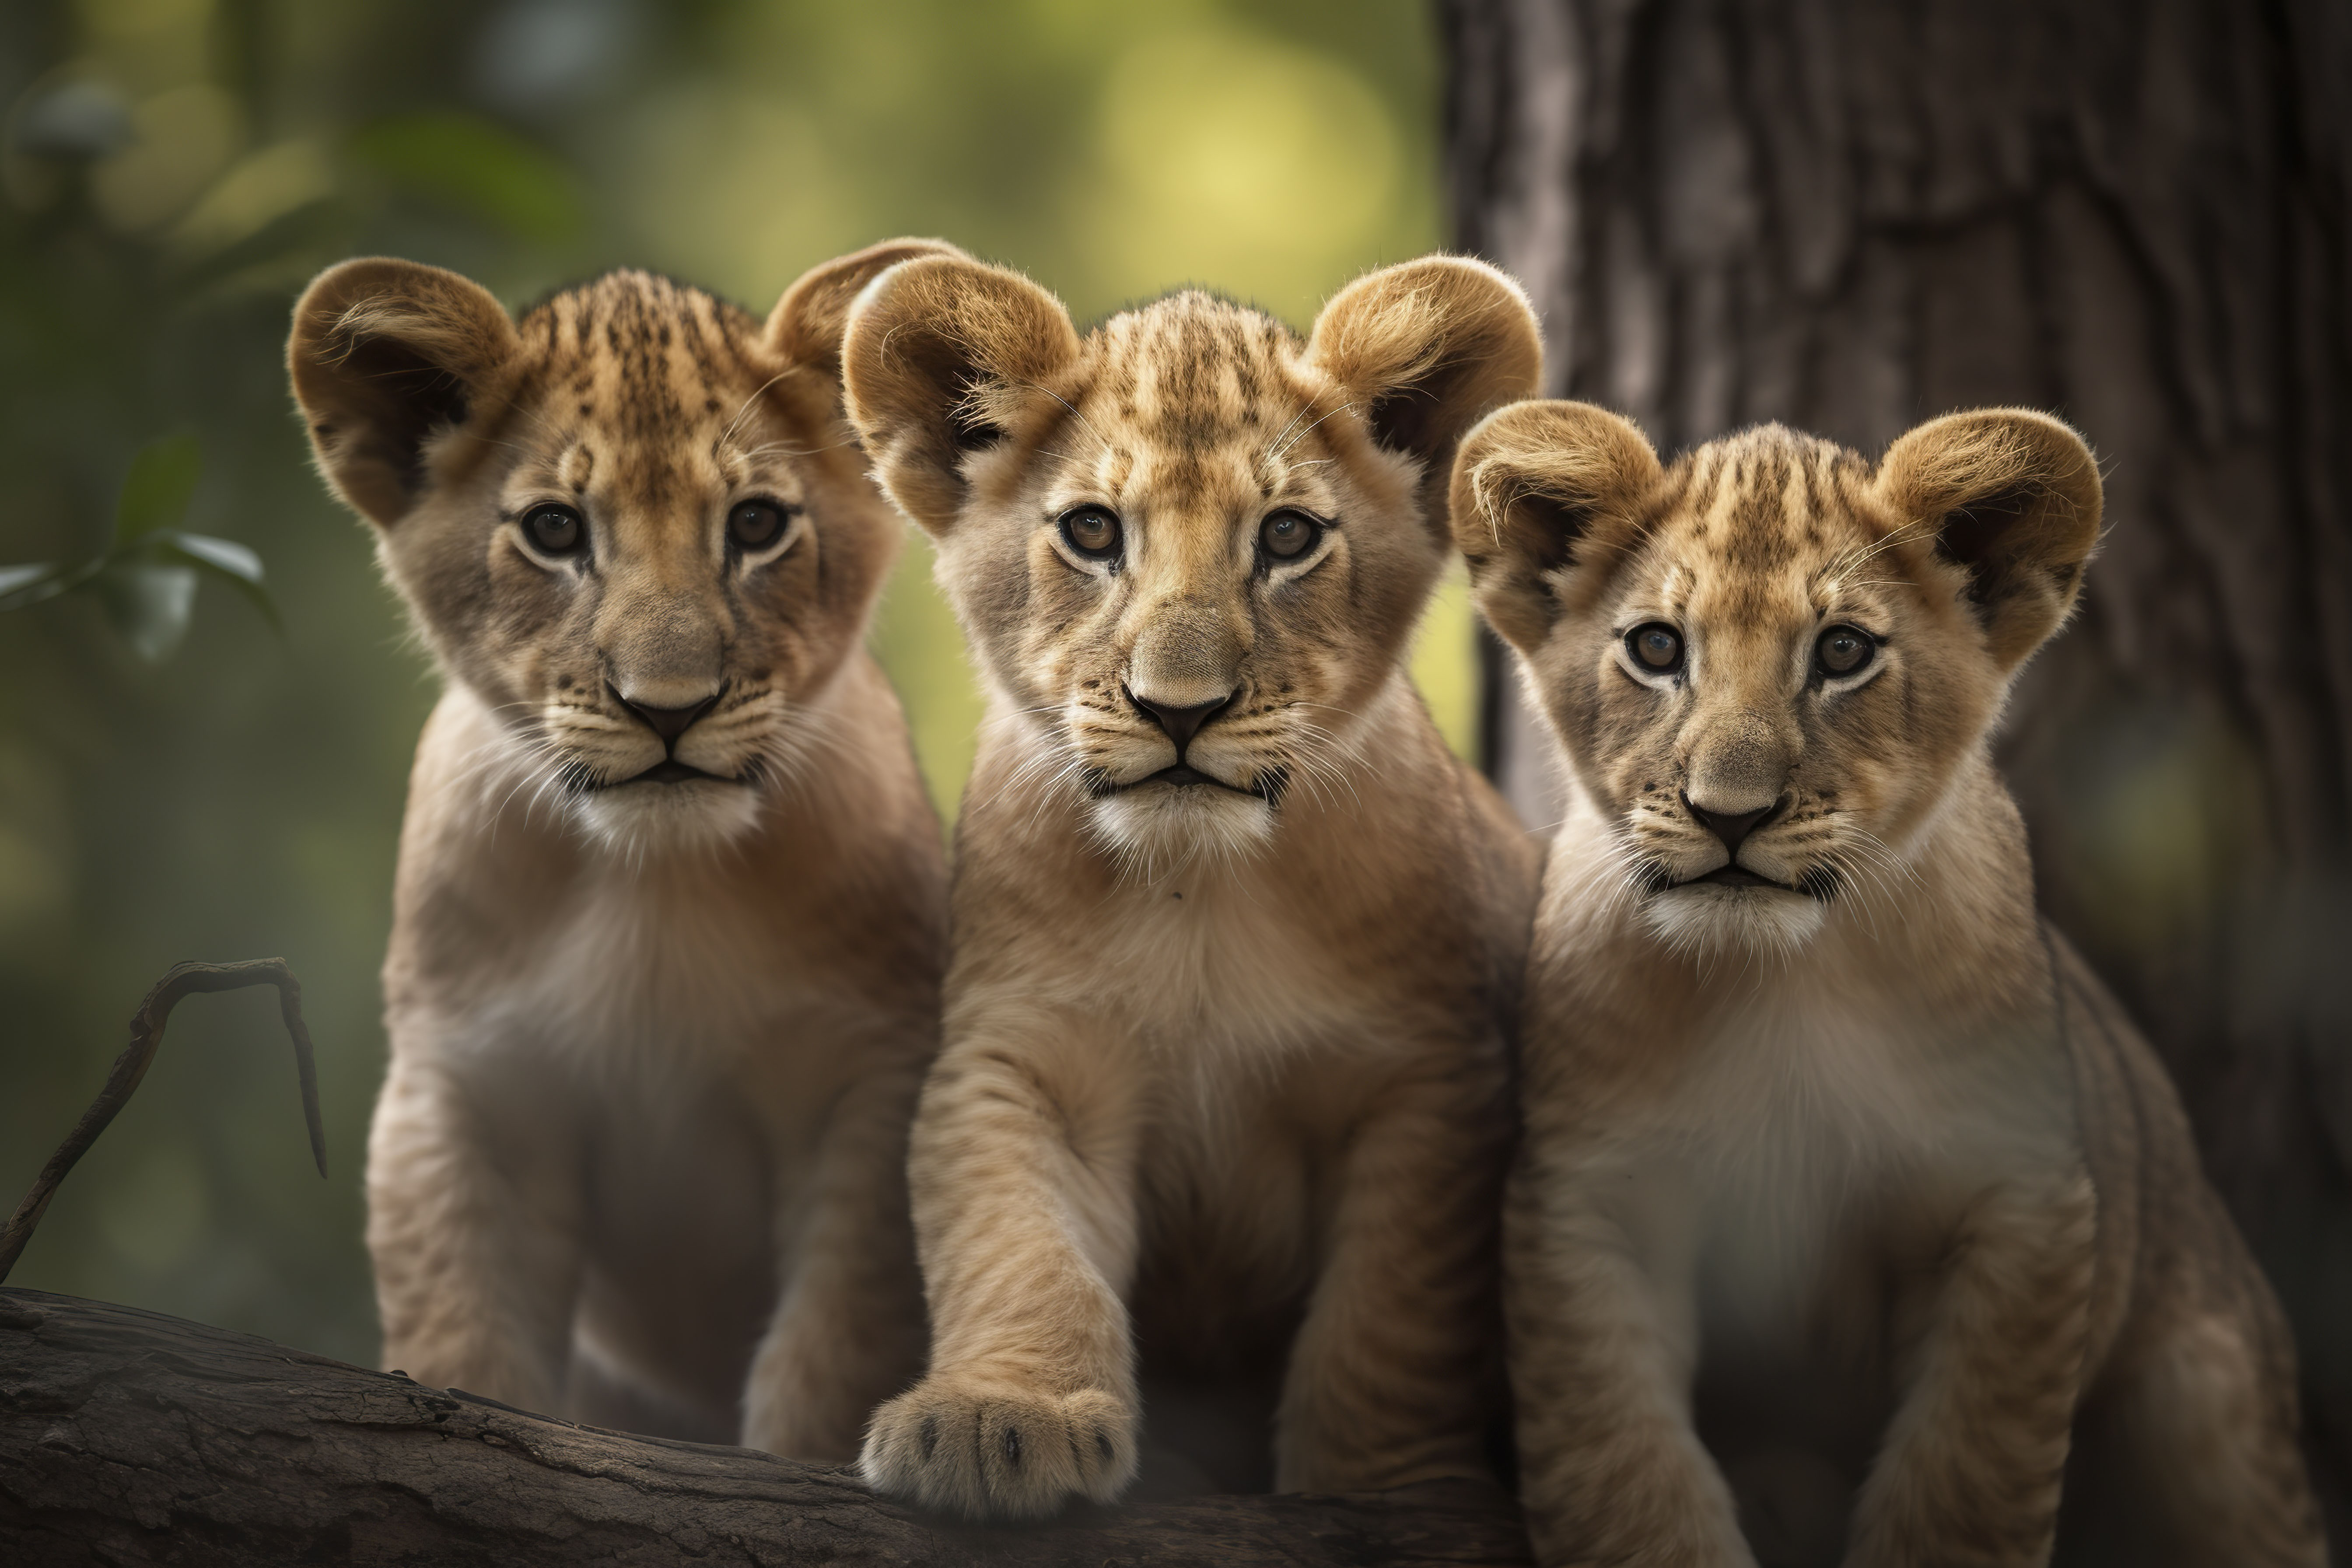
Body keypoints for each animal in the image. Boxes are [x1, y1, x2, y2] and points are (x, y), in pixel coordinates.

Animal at [286, 240, 957, 1458]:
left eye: (756, 525)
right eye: (555, 531)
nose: (669, 708)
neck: (656, 883)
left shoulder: (871, 1080)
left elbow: (829, 1361)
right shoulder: (469, 1091)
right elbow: (465, 1349)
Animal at [833, 253, 1546, 1518]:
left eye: (1290, 536)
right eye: (1092, 531)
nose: (1179, 708)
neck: (1196, 892)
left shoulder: (1425, 1083)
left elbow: (1385, 1321)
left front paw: (1385, 1487)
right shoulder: (1024, 1059)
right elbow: (1018, 1250)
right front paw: (996, 1419)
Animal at [1451, 401, 2326, 1567]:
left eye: (1843, 652)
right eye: (1656, 648)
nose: (1730, 815)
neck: (1777, 985)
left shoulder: (2016, 1198)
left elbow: (1962, 1490)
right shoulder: (1589, 1206)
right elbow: (1630, 1492)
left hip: (2213, 1410)